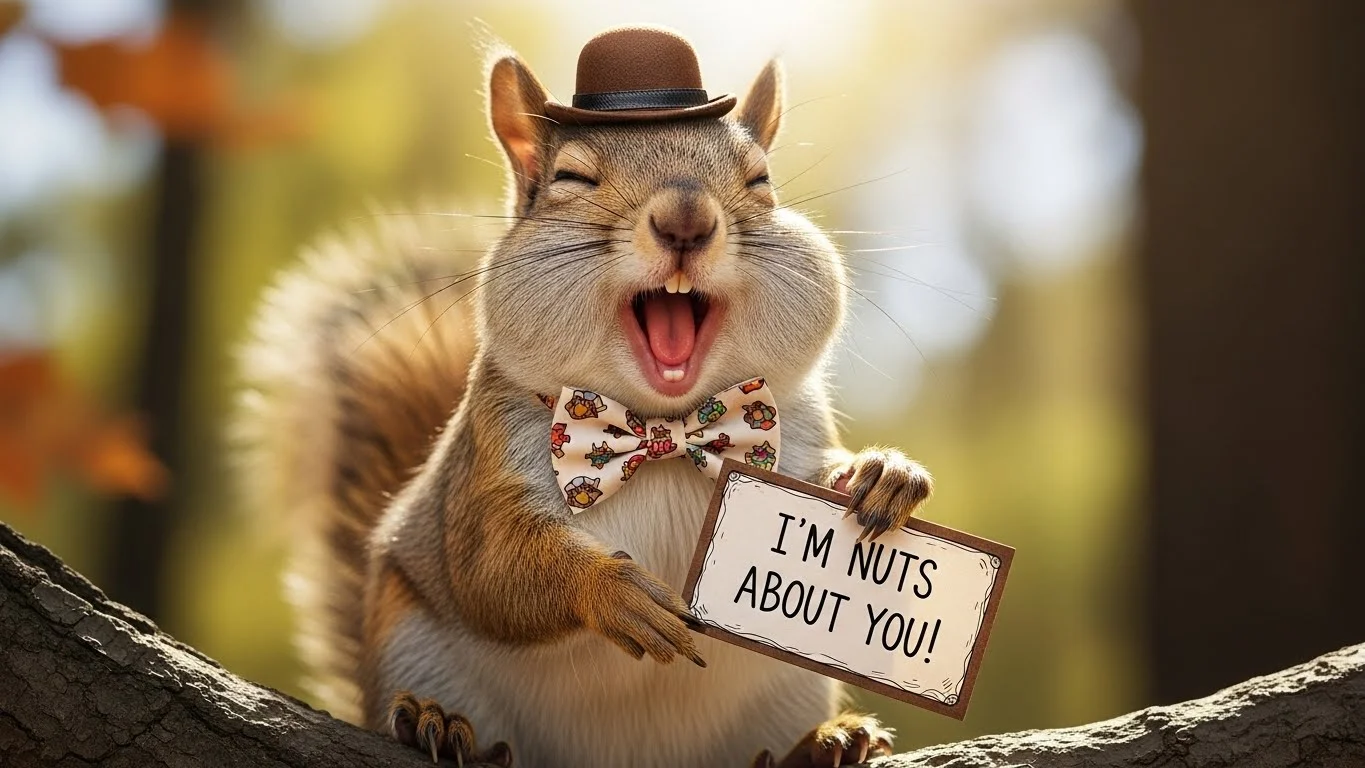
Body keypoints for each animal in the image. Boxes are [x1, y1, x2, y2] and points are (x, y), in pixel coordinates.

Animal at [236, 25, 933, 768]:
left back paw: (825, 743)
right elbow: (494, 567)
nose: (686, 220)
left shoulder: (794, 441)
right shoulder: (486, 472)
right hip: (408, 640)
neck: (663, 430)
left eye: (760, 180)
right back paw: (436, 725)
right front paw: (612, 589)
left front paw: (883, 473)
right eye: (572, 179)